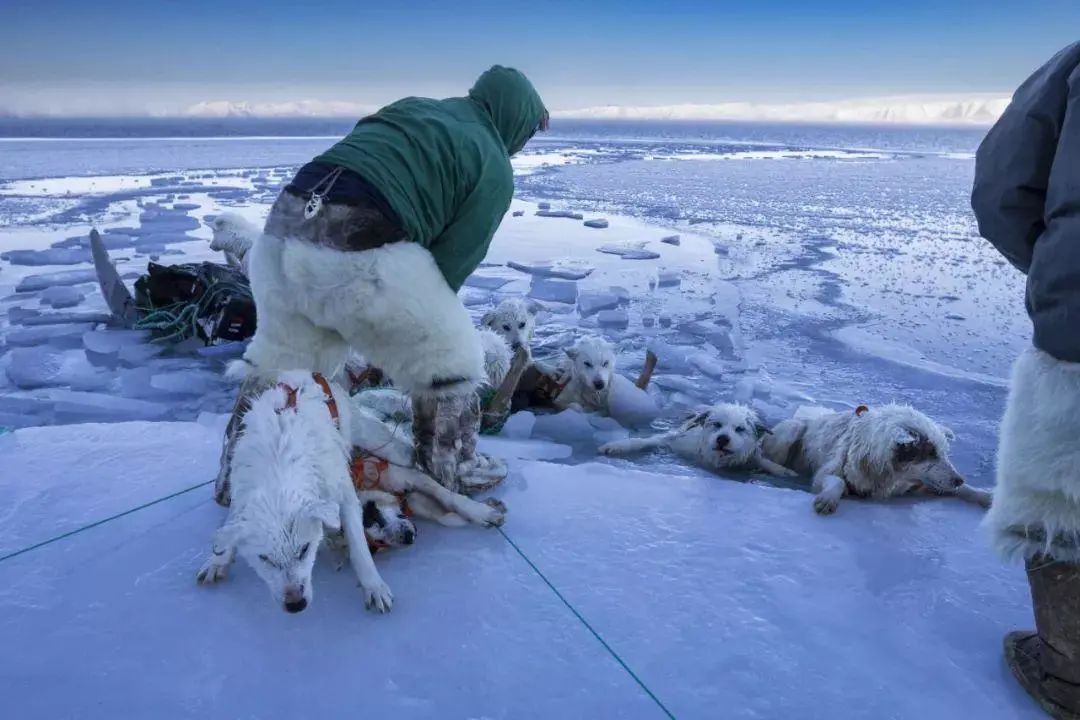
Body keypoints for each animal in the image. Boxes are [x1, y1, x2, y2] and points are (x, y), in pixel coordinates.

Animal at [196, 367, 395, 613]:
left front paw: (374, 585)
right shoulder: (241, 490)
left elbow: (359, 545)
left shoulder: (341, 489)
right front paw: (218, 560)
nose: (295, 604)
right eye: (264, 558)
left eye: (304, 549)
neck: (279, 463)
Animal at [600, 403, 803, 481]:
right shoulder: (676, 441)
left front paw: (784, 471)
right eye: (717, 424)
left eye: (739, 429)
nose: (722, 438)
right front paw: (615, 446)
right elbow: (645, 441)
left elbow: (765, 462)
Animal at [760, 403, 993, 515]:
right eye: (931, 453)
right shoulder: (827, 473)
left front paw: (987, 497)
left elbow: (965, 491)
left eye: (944, 453)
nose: (958, 479)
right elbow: (837, 481)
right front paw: (828, 499)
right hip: (791, 430)